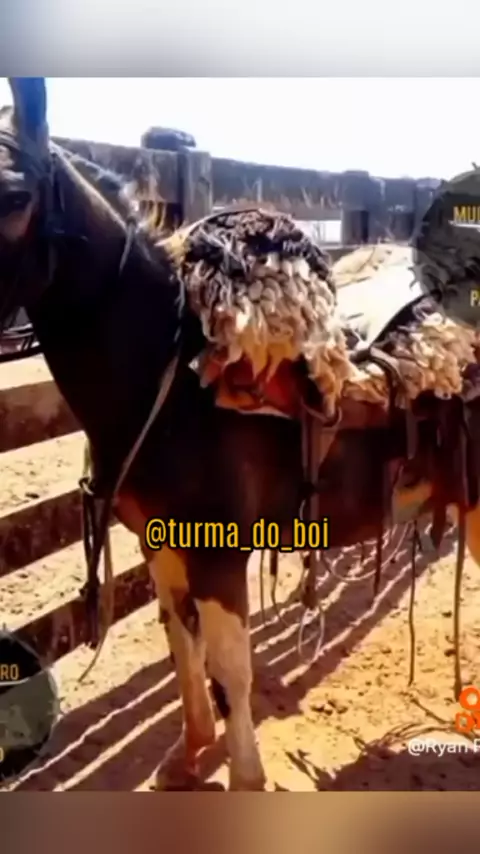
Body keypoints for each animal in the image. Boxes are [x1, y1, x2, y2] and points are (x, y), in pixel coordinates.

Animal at [1, 77, 480, 792]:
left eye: (13, 196)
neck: (169, 378)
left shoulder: (218, 554)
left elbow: (231, 670)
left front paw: (244, 779)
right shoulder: (162, 544)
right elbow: (183, 644)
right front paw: (190, 753)